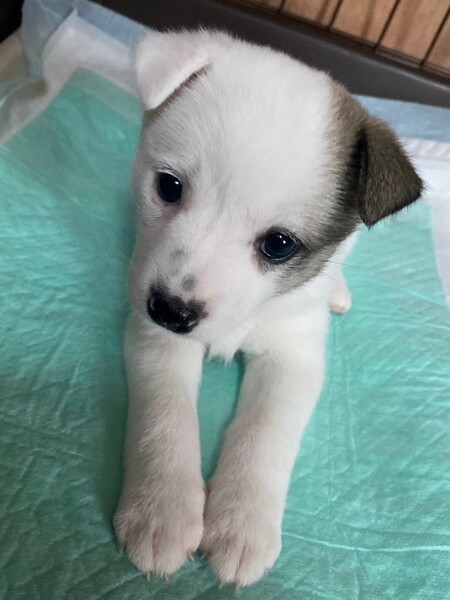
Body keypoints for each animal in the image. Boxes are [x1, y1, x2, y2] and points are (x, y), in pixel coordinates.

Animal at [114, 30, 422, 587]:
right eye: (168, 186)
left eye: (278, 245)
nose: (171, 310)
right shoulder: (155, 336)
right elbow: (164, 415)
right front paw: (160, 508)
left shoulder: (293, 356)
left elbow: (265, 432)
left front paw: (241, 524)